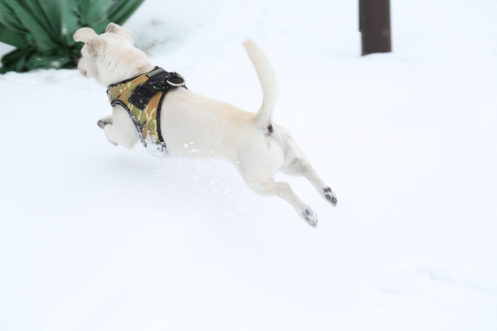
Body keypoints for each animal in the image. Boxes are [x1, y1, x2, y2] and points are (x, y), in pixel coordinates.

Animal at [72, 23, 338, 228]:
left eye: (83, 53)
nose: (76, 66)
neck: (133, 77)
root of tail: (261, 123)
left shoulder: (127, 133)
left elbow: (113, 133)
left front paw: (105, 128)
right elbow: (108, 119)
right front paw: (103, 118)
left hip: (255, 178)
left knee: (285, 187)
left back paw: (307, 213)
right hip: (288, 157)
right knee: (306, 168)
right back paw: (328, 194)